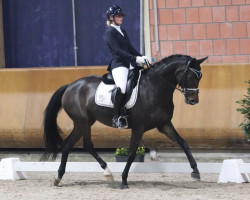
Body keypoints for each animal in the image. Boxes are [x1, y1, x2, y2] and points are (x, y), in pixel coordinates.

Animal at [42, 54, 207, 189]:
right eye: (192, 76)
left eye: (200, 77)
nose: (193, 101)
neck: (154, 88)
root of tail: (70, 86)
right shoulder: (139, 128)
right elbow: (132, 153)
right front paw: (124, 180)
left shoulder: (164, 125)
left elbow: (183, 143)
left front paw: (195, 172)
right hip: (82, 122)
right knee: (87, 145)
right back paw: (107, 173)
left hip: (84, 122)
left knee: (68, 145)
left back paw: (58, 178)